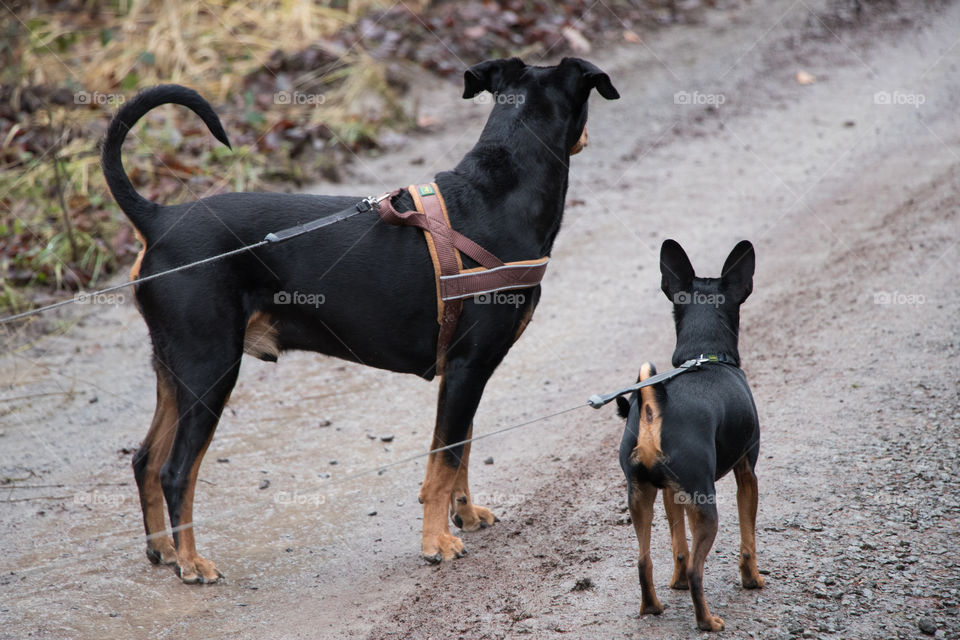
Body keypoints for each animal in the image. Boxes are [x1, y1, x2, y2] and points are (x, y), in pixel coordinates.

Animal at [103, 57, 616, 584]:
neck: (500, 192)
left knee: (145, 461)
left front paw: (465, 514)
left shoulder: (465, 371)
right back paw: (191, 562)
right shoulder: (468, 367)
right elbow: (444, 459)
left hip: (175, 369)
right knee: (177, 471)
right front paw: (435, 542)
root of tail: (159, 220)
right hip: (211, 369)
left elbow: (462, 448)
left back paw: (164, 550)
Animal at [616, 239, 764, 632]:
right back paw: (707, 621)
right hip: (706, 505)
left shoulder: (671, 493)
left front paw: (677, 582)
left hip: (640, 496)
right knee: (700, 572)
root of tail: (653, 409)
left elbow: (677, 545)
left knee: (644, 561)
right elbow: (748, 537)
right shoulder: (747, 473)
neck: (705, 354)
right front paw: (753, 579)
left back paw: (652, 607)